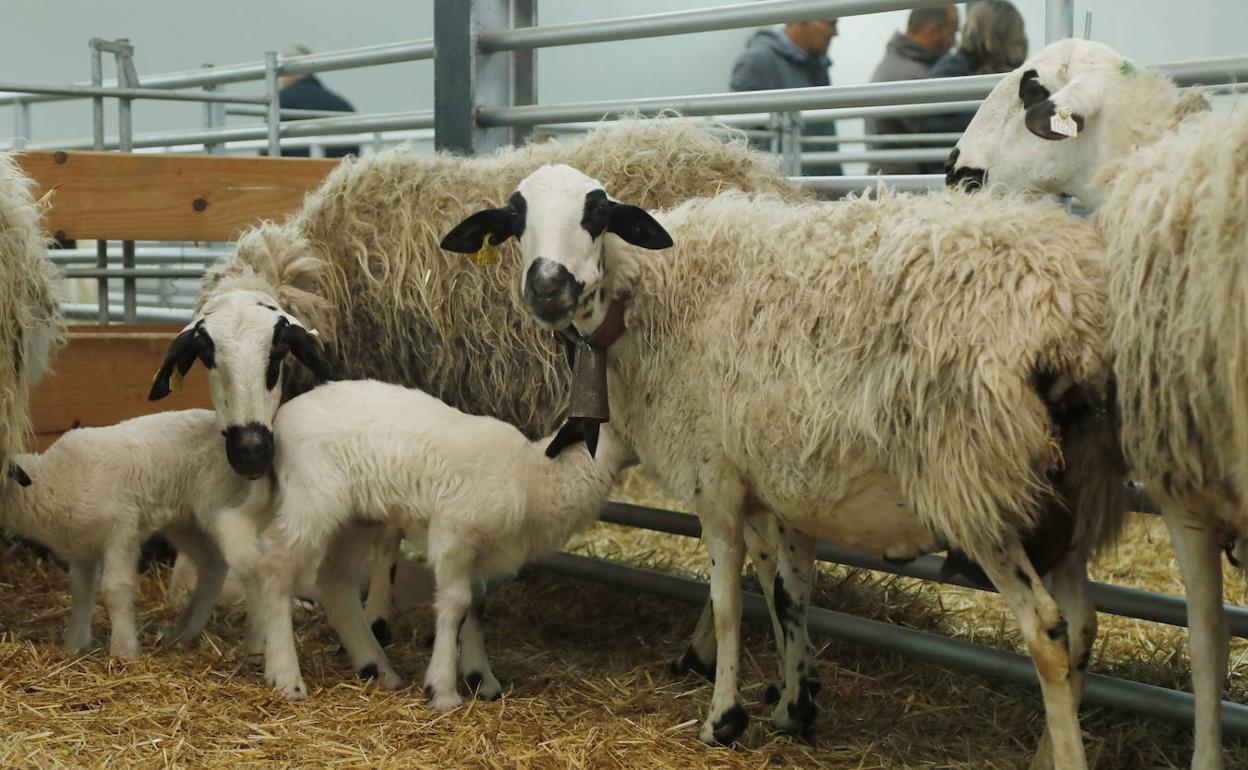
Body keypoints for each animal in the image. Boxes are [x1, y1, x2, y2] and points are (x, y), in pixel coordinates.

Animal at [0, 409, 258, 658]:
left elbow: (115, 588)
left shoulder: (122, 530)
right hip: (187, 523)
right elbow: (81, 591)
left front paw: (123, 652)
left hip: (223, 502)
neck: (54, 481)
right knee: (213, 565)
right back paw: (184, 633)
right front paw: (74, 646)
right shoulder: (83, 548)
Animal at [228, 379, 636, 705]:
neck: (536, 475)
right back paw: (286, 676)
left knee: (335, 583)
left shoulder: (477, 550)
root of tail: (280, 420)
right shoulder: (454, 533)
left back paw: (377, 668)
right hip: (311, 501)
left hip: (358, 514)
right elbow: (456, 603)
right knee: (274, 572)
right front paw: (443, 689)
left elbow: (478, 604)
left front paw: (481, 677)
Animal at [442, 165, 1126, 768]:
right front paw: (795, 707)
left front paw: (724, 720)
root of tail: (1064, 311)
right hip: (1070, 495)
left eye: (598, 212)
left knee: (1047, 630)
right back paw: (1045, 750)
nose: (548, 286)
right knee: (1084, 625)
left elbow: (727, 603)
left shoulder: (716, 479)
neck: (648, 297)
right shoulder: (782, 486)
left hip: (976, 485)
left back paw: (1063, 758)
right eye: (516, 218)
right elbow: (787, 593)